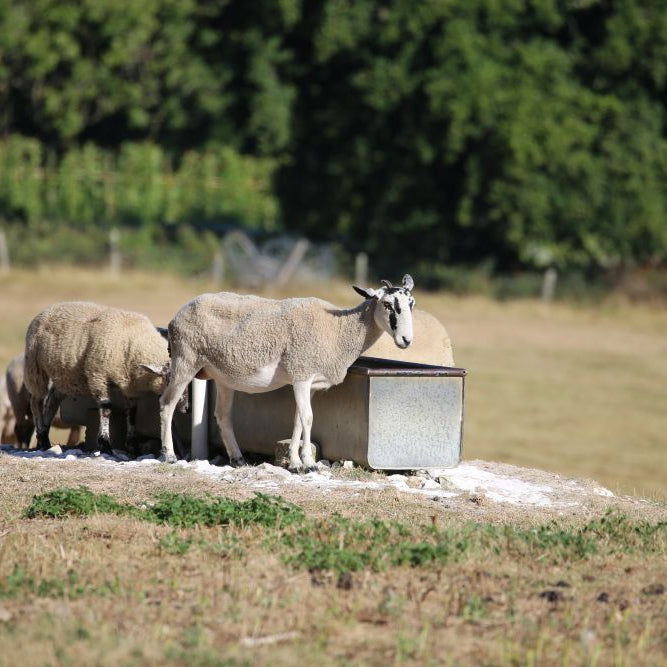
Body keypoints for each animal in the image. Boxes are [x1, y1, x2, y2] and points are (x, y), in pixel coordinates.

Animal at [24, 302, 182, 452]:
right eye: (170, 380)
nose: (183, 405)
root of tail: (46, 310)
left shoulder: (130, 387)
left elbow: (132, 412)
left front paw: (132, 444)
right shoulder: (98, 376)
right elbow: (106, 410)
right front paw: (105, 443)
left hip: (64, 376)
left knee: (51, 402)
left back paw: (45, 435)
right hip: (35, 367)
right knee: (36, 402)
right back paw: (43, 439)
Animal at [159, 275, 416, 471]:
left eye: (411, 303)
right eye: (387, 305)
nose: (406, 340)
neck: (338, 329)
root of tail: (177, 315)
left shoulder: (310, 383)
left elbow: (298, 420)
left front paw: (295, 462)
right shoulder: (301, 374)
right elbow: (308, 418)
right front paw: (308, 464)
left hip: (222, 376)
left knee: (222, 415)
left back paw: (238, 459)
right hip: (185, 360)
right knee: (167, 404)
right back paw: (169, 455)